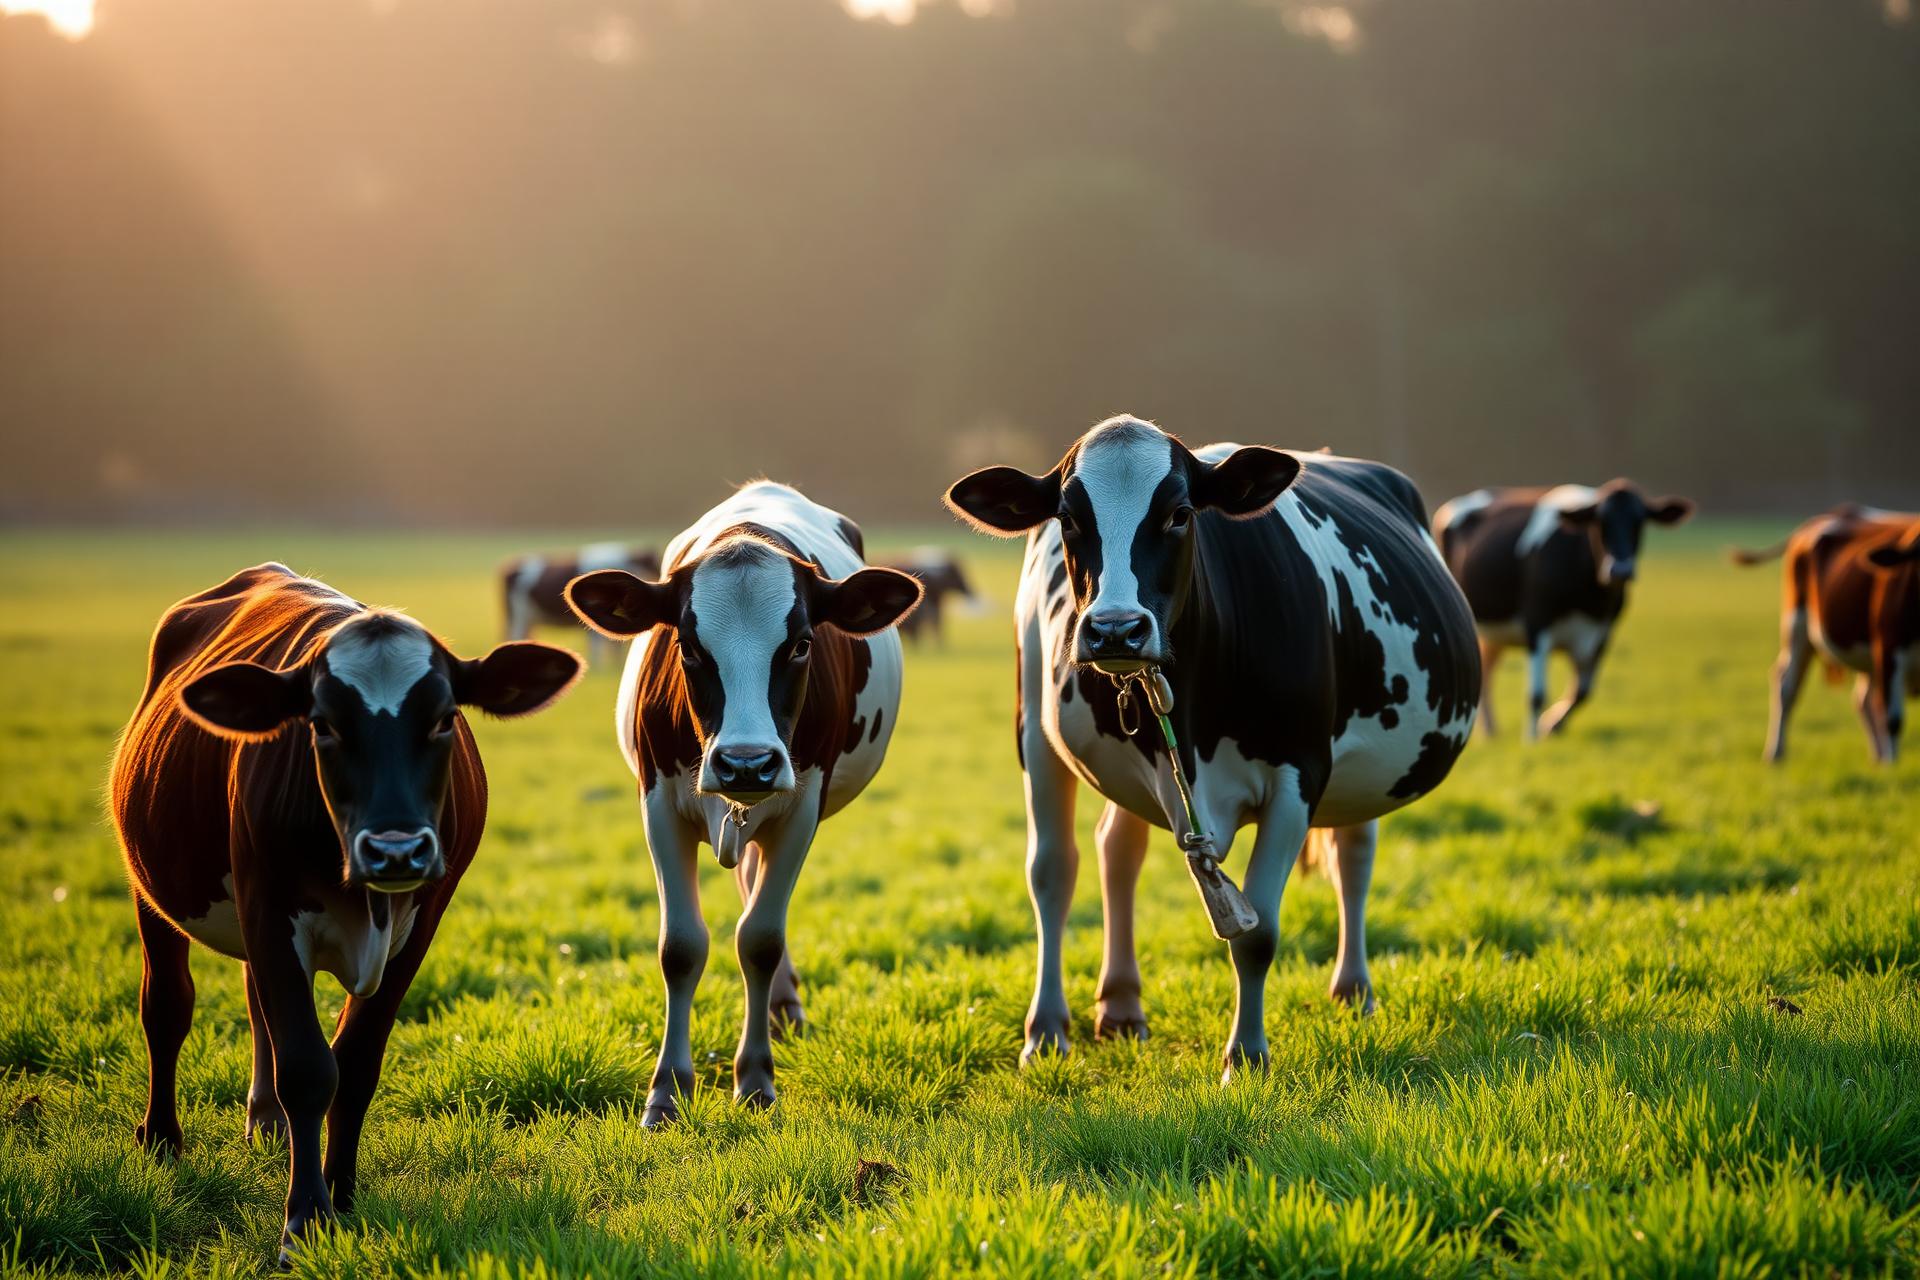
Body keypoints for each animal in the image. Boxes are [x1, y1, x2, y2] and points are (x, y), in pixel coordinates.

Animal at [109, 563, 581, 1259]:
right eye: (323, 724)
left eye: (444, 718)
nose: (396, 849)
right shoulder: (268, 907)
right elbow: (308, 1067)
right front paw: (304, 1220)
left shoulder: (419, 925)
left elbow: (354, 1063)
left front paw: (341, 1193)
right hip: (153, 889)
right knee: (168, 1006)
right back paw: (163, 1139)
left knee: (256, 1006)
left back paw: (266, 1122)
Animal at [564, 482, 921, 1125]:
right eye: (687, 645)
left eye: (801, 645)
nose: (747, 763)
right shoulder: (657, 806)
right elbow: (680, 947)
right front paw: (667, 1092)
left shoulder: (802, 808)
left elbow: (759, 940)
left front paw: (755, 1079)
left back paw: (782, 1008)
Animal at [943, 415, 1480, 1079]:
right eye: (1068, 517)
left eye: (1179, 514)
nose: (1116, 630)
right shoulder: (1045, 743)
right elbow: (1053, 874)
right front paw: (1046, 1032)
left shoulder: (1300, 777)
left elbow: (1258, 931)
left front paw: (1246, 1057)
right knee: (1089, 859)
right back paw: (1103, 1011)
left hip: (1366, 771)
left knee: (1354, 857)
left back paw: (1354, 991)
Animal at [1432, 481, 1693, 739]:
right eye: (1601, 522)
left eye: (1639, 522)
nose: (1620, 570)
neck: (1590, 599)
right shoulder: (1537, 623)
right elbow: (1536, 694)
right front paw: (1532, 739)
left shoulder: (1603, 632)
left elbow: (1582, 691)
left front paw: (1552, 725)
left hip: (1493, 635)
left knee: (1485, 673)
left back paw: (1491, 730)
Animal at [1733, 506, 1920, 764]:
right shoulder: (1890, 650)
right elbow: (1892, 719)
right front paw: (1892, 768)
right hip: (1798, 625)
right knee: (1786, 685)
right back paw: (1776, 753)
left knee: (1863, 700)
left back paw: (1877, 758)